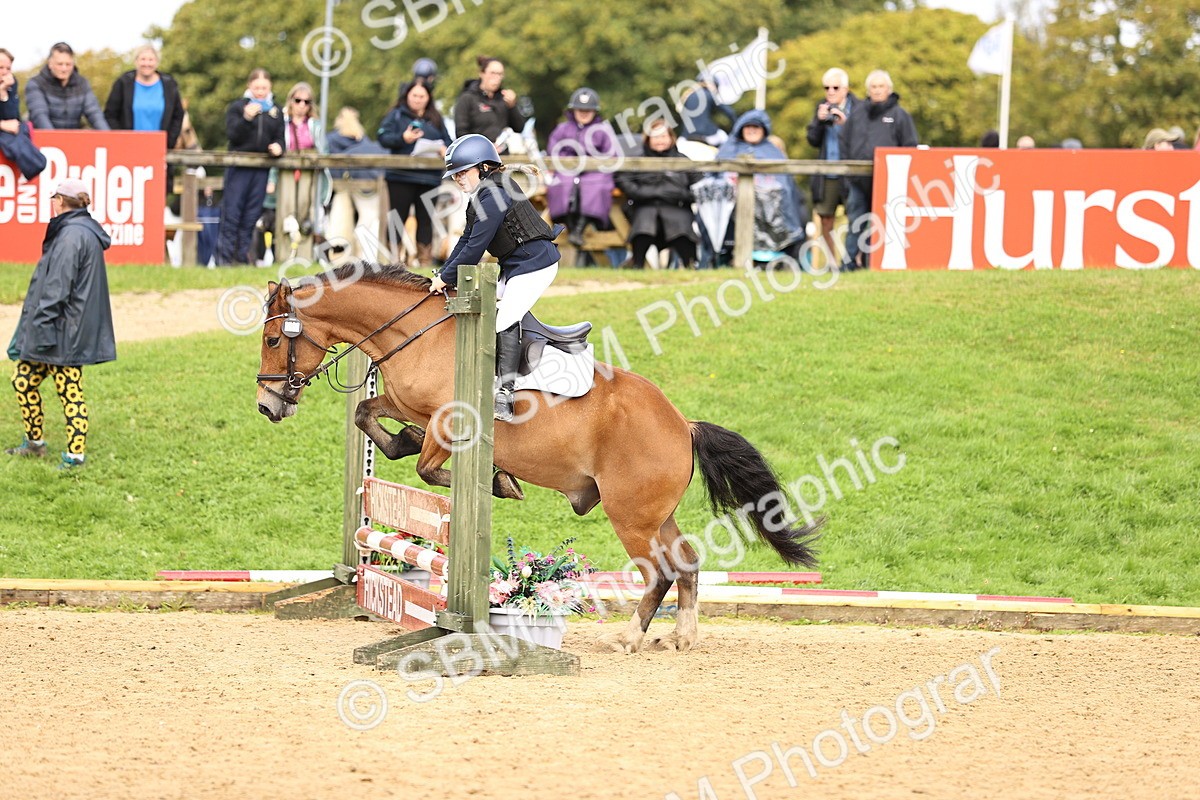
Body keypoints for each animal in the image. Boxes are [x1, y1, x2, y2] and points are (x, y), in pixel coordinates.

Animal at [255, 263, 821, 653]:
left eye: (272, 339)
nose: (267, 405)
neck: (416, 334)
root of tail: (683, 425)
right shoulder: (402, 403)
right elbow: (369, 416)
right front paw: (404, 441)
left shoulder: (446, 420)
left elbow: (426, 467)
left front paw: (497, 481)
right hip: (654, 514)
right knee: (685, 563)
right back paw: (681, 636)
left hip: (630, 516)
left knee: (659, 573)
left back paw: (628, 639)